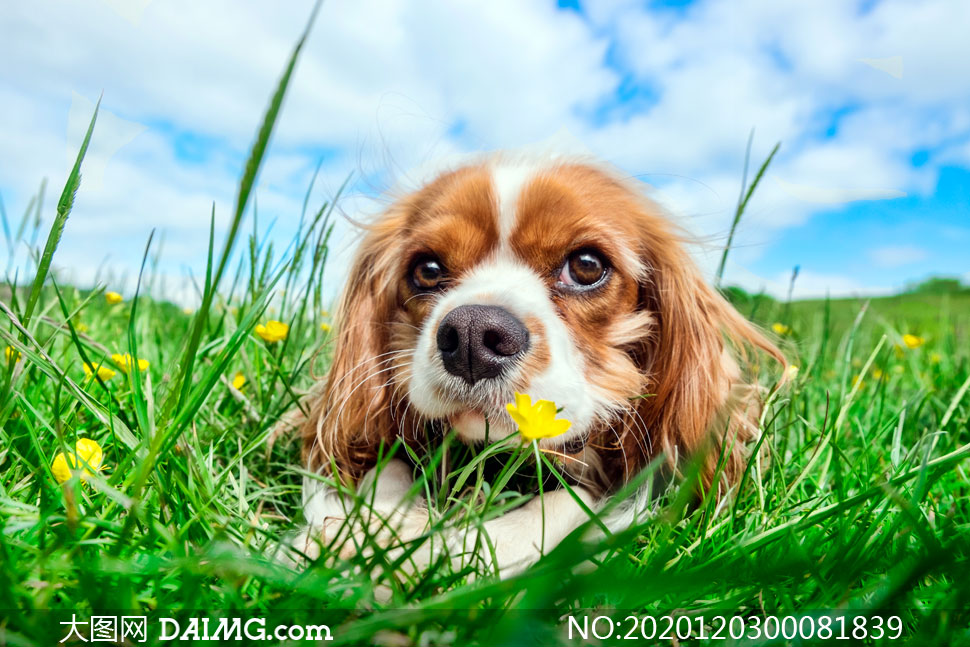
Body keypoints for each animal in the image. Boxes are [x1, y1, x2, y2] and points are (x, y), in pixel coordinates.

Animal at [286, 158, 780, 584]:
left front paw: (423, 555)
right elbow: (381, 470)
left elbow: (566, 505)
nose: (472, 334)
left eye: (586, 265)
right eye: (426, 269)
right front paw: (360, 532)